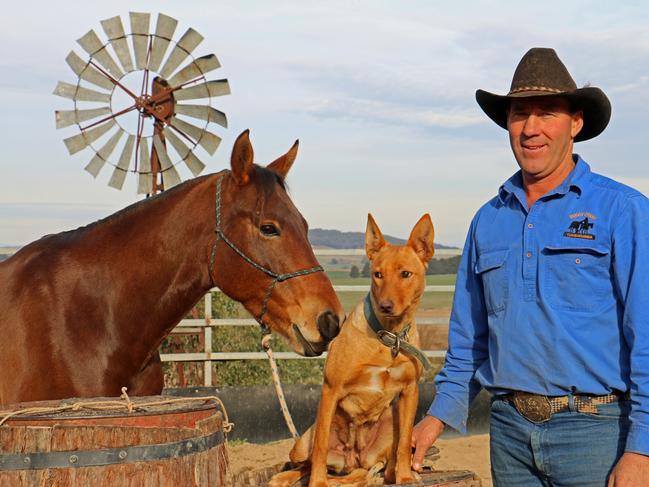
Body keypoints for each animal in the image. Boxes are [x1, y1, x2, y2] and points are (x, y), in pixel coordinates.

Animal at [268, 214, 436, 487]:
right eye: (377, 274)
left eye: (406, 274)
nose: (385, 305)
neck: (388, 338)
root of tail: (352, 457)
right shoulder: (331, 389)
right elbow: (320, 448)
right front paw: (318, 483)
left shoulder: (410, 391)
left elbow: (403, 445)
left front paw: (405, 477)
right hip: (302, 443)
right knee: (306, 462)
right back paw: (286, 477)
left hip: (388, 423)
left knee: (369, 468)